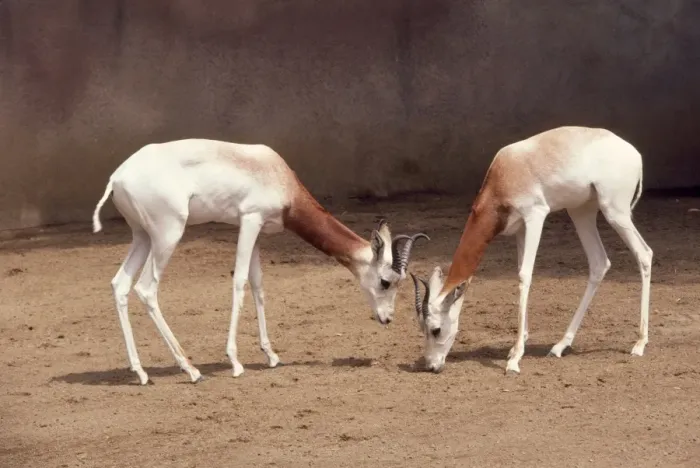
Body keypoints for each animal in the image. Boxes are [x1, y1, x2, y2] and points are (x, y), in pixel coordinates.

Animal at [92, 138, 428, 385]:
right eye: (386, 281)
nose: (387, 318)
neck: (276, 175)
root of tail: (117, 177)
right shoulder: (249, 220)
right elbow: (240, 282)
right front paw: (235, 361)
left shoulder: (258, 230)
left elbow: (258, 285)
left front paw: (271, 355)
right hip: (167, 234)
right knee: (146, 288)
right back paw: (191, 370)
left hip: (142, 237)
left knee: (120, 284)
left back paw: (141, 372)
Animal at [410, 126, 652, 374]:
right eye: (421, 328)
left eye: (436, 329)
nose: (431, 365)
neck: (506, 174)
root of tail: (633, 152)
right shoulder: (519, 229)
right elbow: (519, 272)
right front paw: (517, 346)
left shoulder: (535, 216)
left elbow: (524, 275)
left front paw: (515, 359)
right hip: (581, 211)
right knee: (599, 263)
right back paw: (560, 345)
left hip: (615, 212)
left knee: (644, 254)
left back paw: (639, 343)